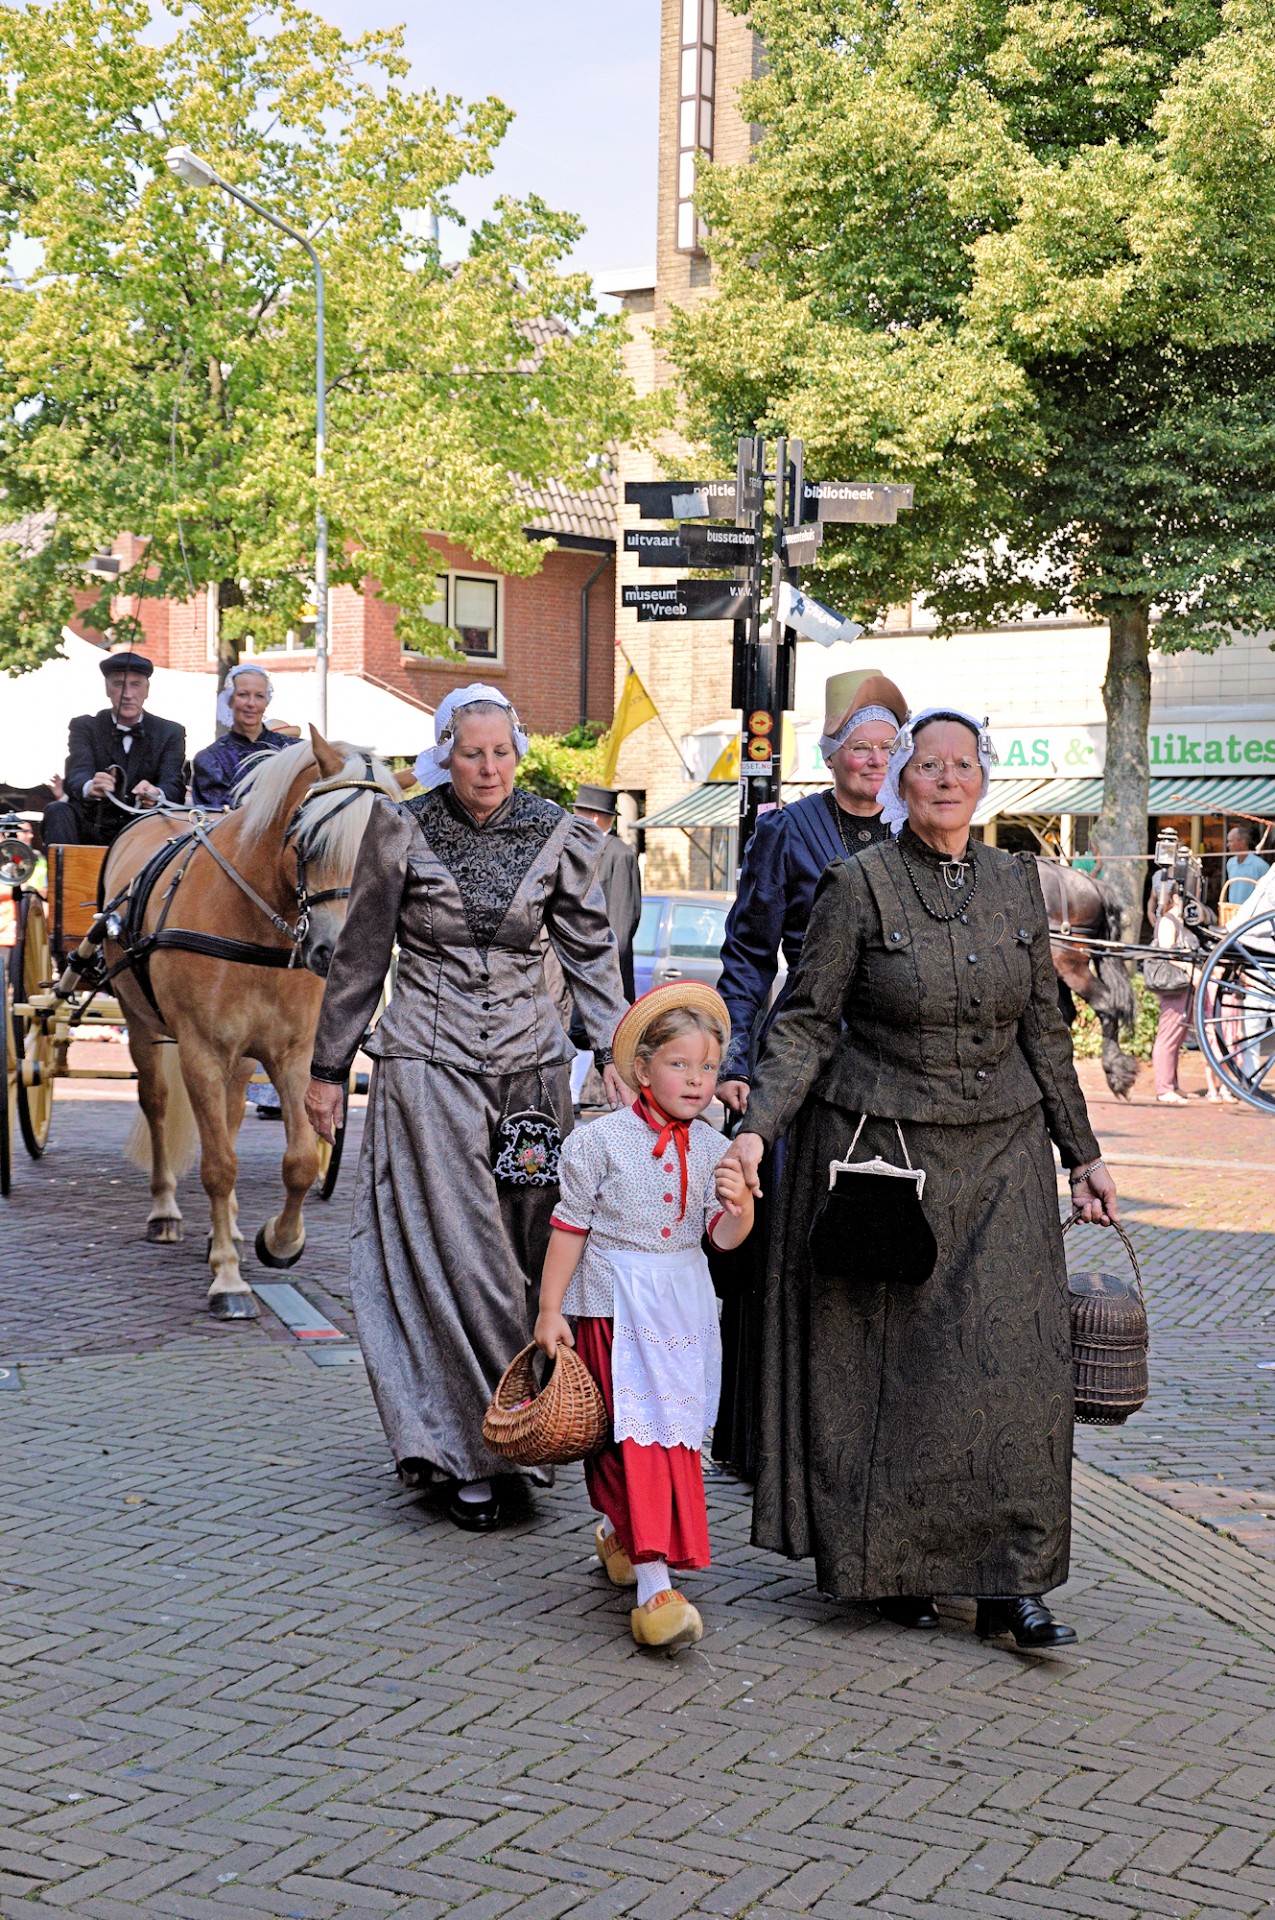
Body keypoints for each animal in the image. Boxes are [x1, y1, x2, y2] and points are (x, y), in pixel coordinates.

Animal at [100, 733, 399, 1320]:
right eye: (311, 841)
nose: (336, 952)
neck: (256, 924)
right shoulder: (201, 1051)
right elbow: (219, 1165)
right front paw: (228, 1281)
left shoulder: (295, 1054)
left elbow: (300, 1162)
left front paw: (278, 1241)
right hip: (142, 1025)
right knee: (157, 1104)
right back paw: (165, 1211)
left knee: (234, 1113)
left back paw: (231, 1229)